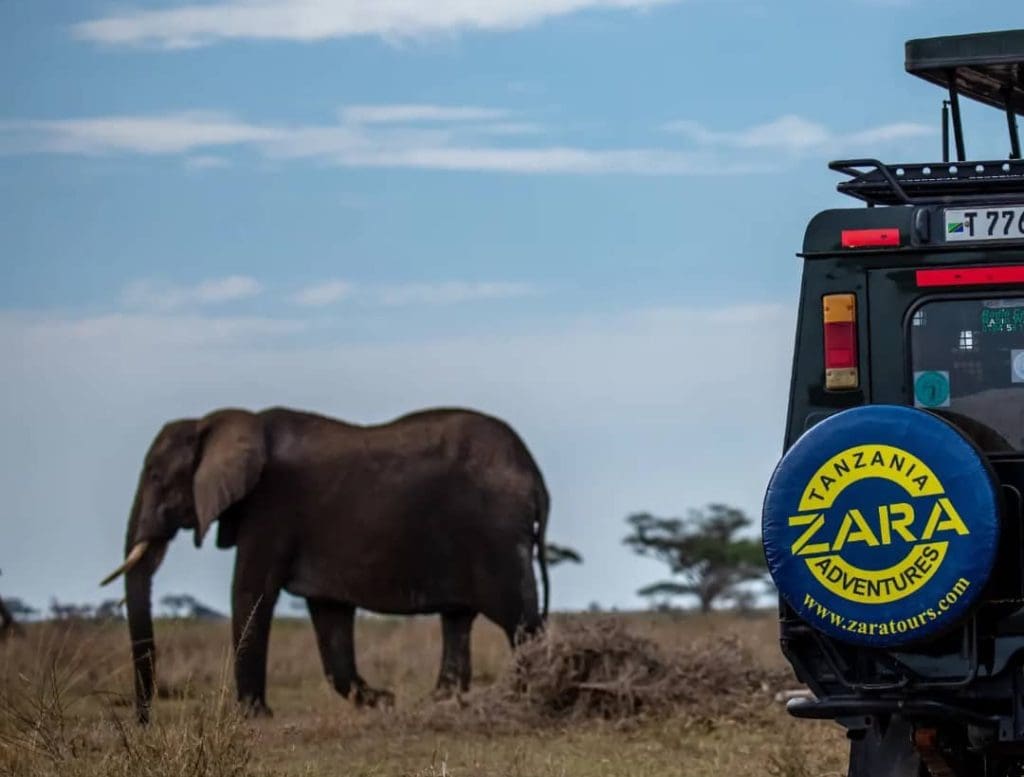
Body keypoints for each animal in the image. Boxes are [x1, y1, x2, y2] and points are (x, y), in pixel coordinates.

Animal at [100, 407, 550, 723]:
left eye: (156, 478)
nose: (143, 721)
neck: (218, 422)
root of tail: (534, 474)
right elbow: (329, 617)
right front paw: (382, 701)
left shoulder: (270, 509)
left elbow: (251, 592)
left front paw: (253, 716)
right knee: (458, 619)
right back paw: (439, 703)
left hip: (496, 534)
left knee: (520, 621)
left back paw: (535, 696)